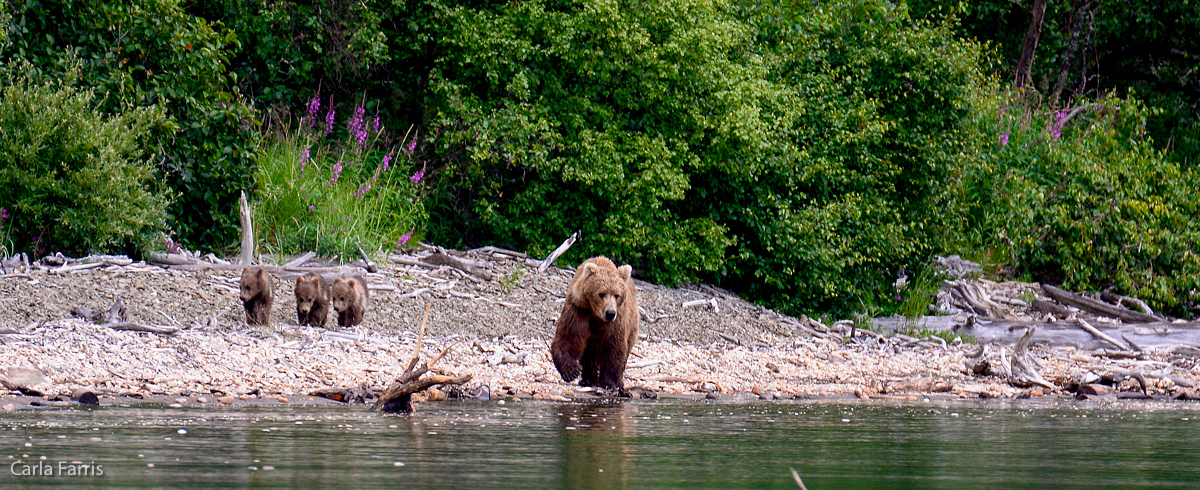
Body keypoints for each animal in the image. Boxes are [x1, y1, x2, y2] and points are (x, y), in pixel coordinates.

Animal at [549, 257, 638, 391]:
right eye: (601, 293)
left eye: (617, 295)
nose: (610, 313)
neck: (596, 314)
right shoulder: (579, 310)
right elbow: (568, 337)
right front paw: (571, 371)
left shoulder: (616, 321)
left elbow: (613, 346)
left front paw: (610, 382)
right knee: (589, 353)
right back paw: (588, 379)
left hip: (632, 324)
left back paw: (619, 382)